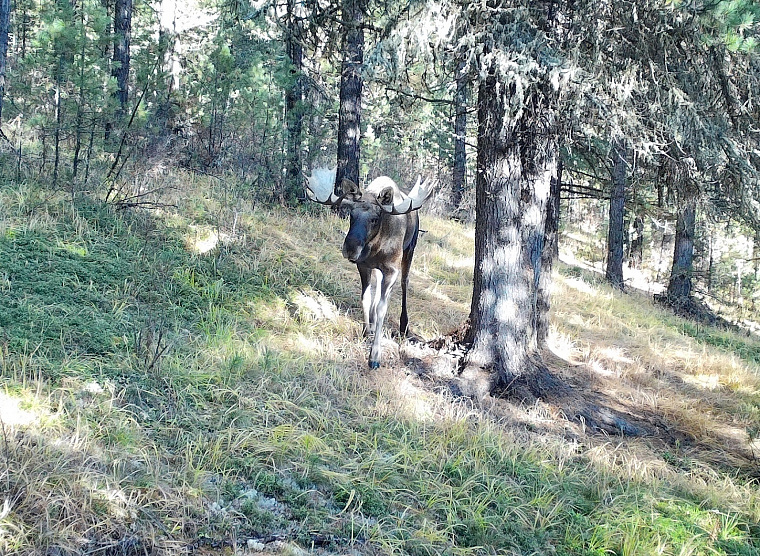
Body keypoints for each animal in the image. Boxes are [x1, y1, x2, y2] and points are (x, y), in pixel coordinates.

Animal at [305, 167, 432, 368]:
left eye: (374, 218)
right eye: (351, 214)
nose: (350, 247)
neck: (376, 246)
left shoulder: (391, 269)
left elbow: (382, 308)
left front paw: (374, 355)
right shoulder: (363, 265)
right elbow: (365, 298)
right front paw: (366, 331)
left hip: (410, 250)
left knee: (405, 282)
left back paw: (404, 325)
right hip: (378, 268)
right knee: (377, 285)